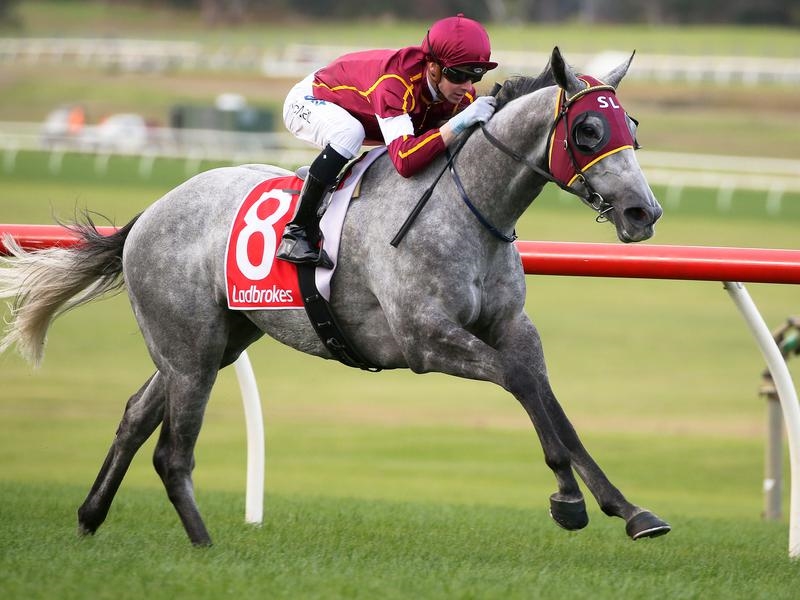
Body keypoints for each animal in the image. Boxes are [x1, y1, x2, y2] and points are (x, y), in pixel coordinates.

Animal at [0, 47, 667, 546]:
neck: (469, 208)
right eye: (587, 129)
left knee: (137, 416)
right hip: (190, 349)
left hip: (213, 340)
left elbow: (549, 400)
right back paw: (204, 545)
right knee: (171, 450)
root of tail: (149, 213)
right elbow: (521, 383)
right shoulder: (425, 340)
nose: (644, 212)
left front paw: (628, 509)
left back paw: (90, 516)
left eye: (630, 126)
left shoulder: (512, 328)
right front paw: (568, 499)